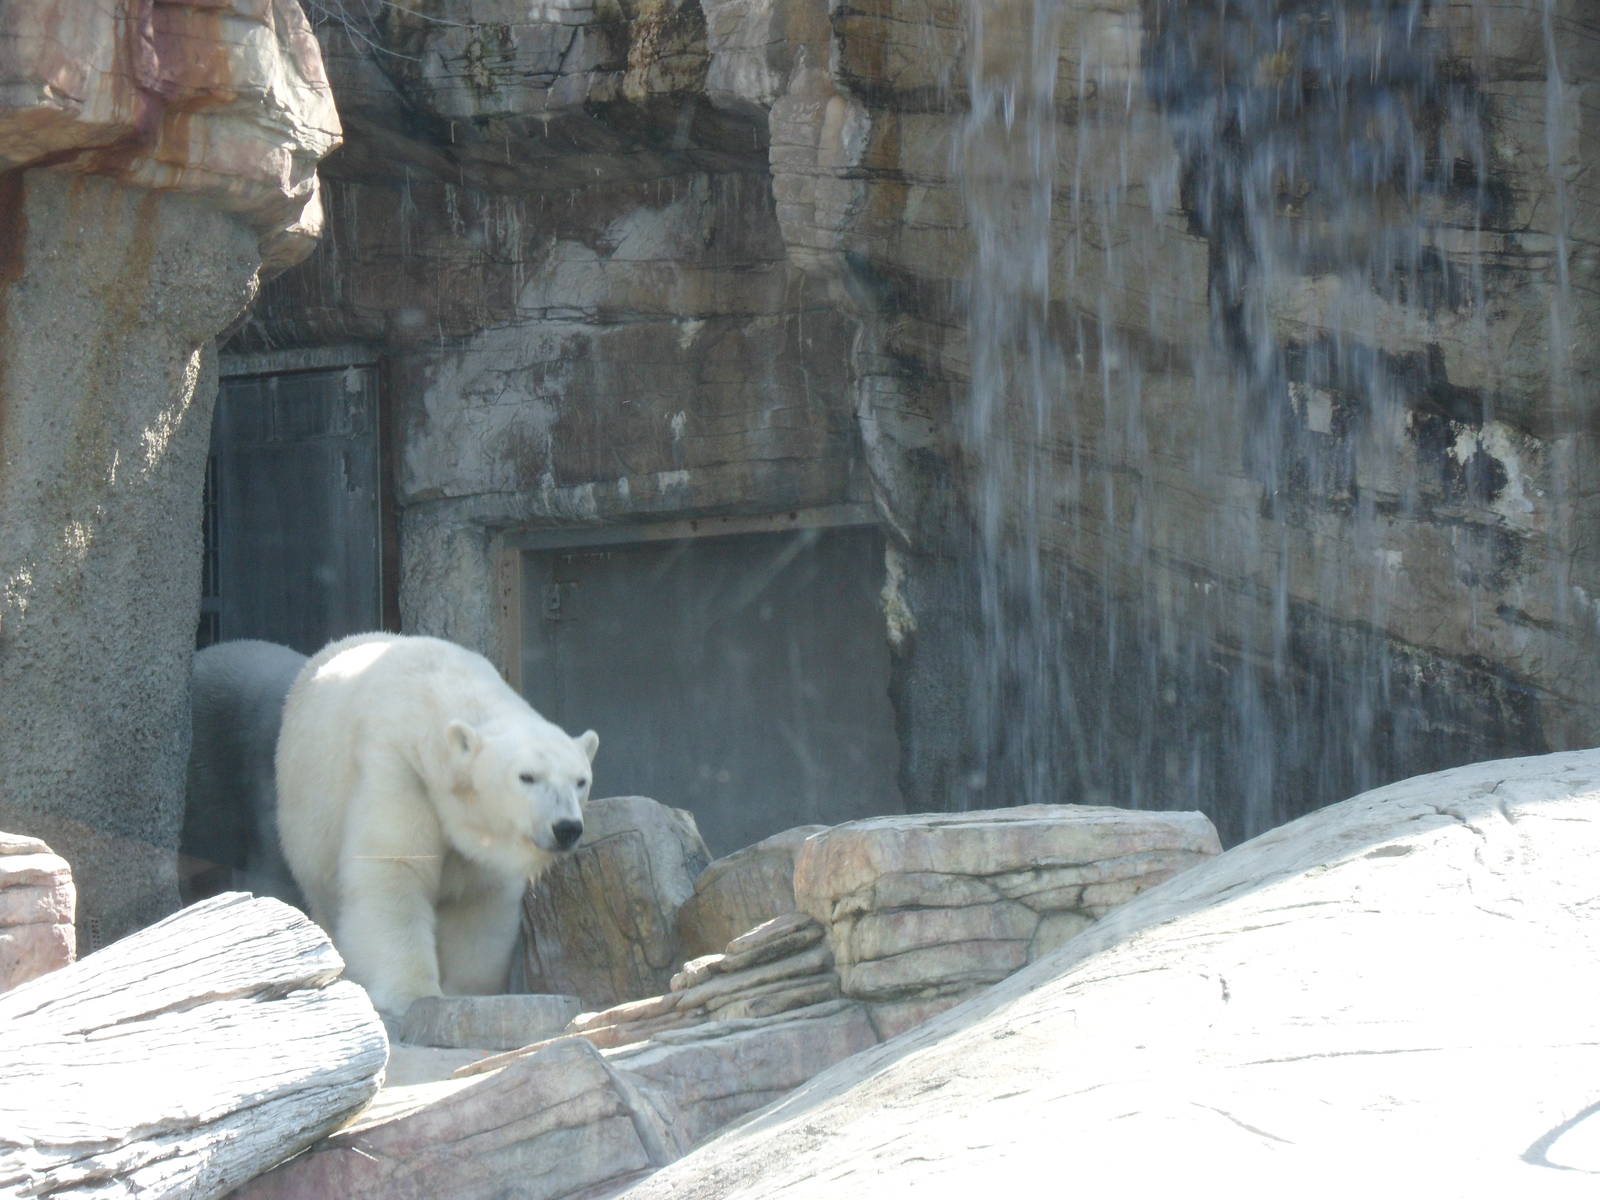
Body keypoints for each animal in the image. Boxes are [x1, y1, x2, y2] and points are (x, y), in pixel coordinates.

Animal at [275, 632, 598, 1018]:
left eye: (580, 781)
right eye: (527, 777)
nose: (566, 828)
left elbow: (479, 901)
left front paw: (465, 993)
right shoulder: (397, 766)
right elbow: (395, 870)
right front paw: (410, 994)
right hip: (309, 822)